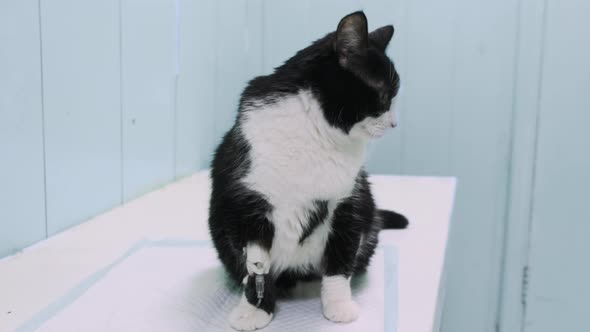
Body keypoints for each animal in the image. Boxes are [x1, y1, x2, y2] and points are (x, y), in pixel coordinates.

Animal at [208, 11, 408, 332]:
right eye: (382, 95)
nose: (393, 123)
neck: (316, 130)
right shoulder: (246, 200)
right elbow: (255, 267)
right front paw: (255, 310)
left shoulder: (347, 201)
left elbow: (340, 260)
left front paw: (338, 305)